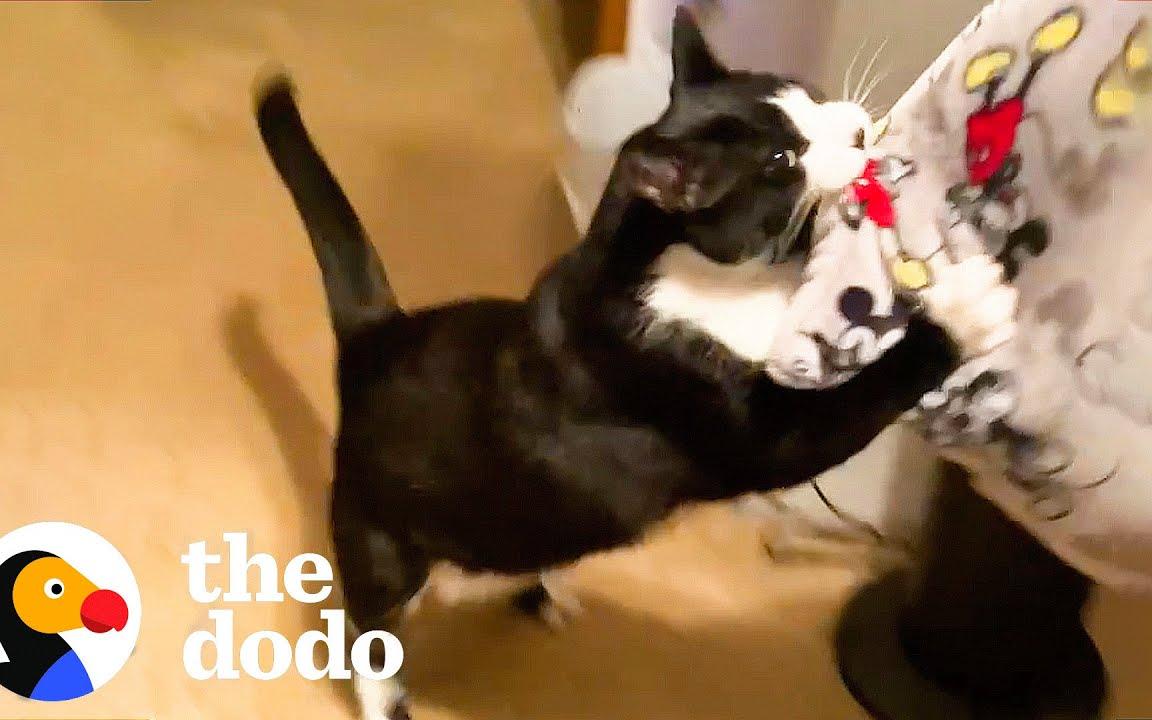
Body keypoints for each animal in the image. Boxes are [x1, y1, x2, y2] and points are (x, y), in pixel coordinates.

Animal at [254, 11, 955, 720]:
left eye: (808, 94)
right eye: (782, 160)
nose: (859, 130)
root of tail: (380, 336)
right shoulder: (730, 422)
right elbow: (833, 417)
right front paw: (949, 325)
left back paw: (543, 596)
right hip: (381, 539)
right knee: (370, 630)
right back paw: (386, 690)